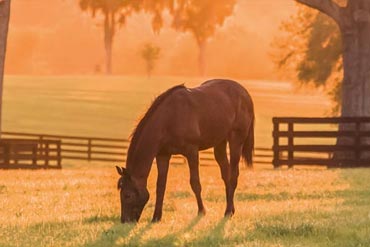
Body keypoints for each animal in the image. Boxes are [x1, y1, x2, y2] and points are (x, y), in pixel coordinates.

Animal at [115, 78, 254, 223]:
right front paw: (156, 217)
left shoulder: (192, 152)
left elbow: (195, 183)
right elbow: (161, 186)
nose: (124, 221)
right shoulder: (163, 155)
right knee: (226, 174)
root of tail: (244, 93)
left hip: (236, 141)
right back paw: (230, 209)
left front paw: (201, 211)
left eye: (127, 195)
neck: (169, 118)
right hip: (220, 142)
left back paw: (227, 212)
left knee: (233, 175)